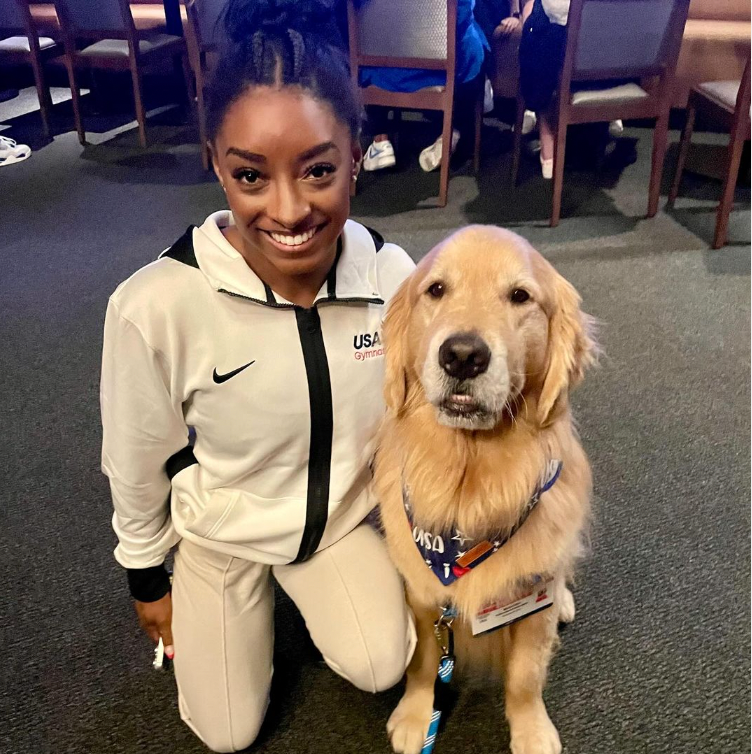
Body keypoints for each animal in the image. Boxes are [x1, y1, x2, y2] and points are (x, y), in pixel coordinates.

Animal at [374, 223, 596, 752]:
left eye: (520, 296)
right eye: (436, 290)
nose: (462, 355)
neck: (469, 485)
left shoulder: (531, 600)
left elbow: (525, 676)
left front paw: (531, 729)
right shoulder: (423, 592)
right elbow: (423, 662)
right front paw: (417, 715)